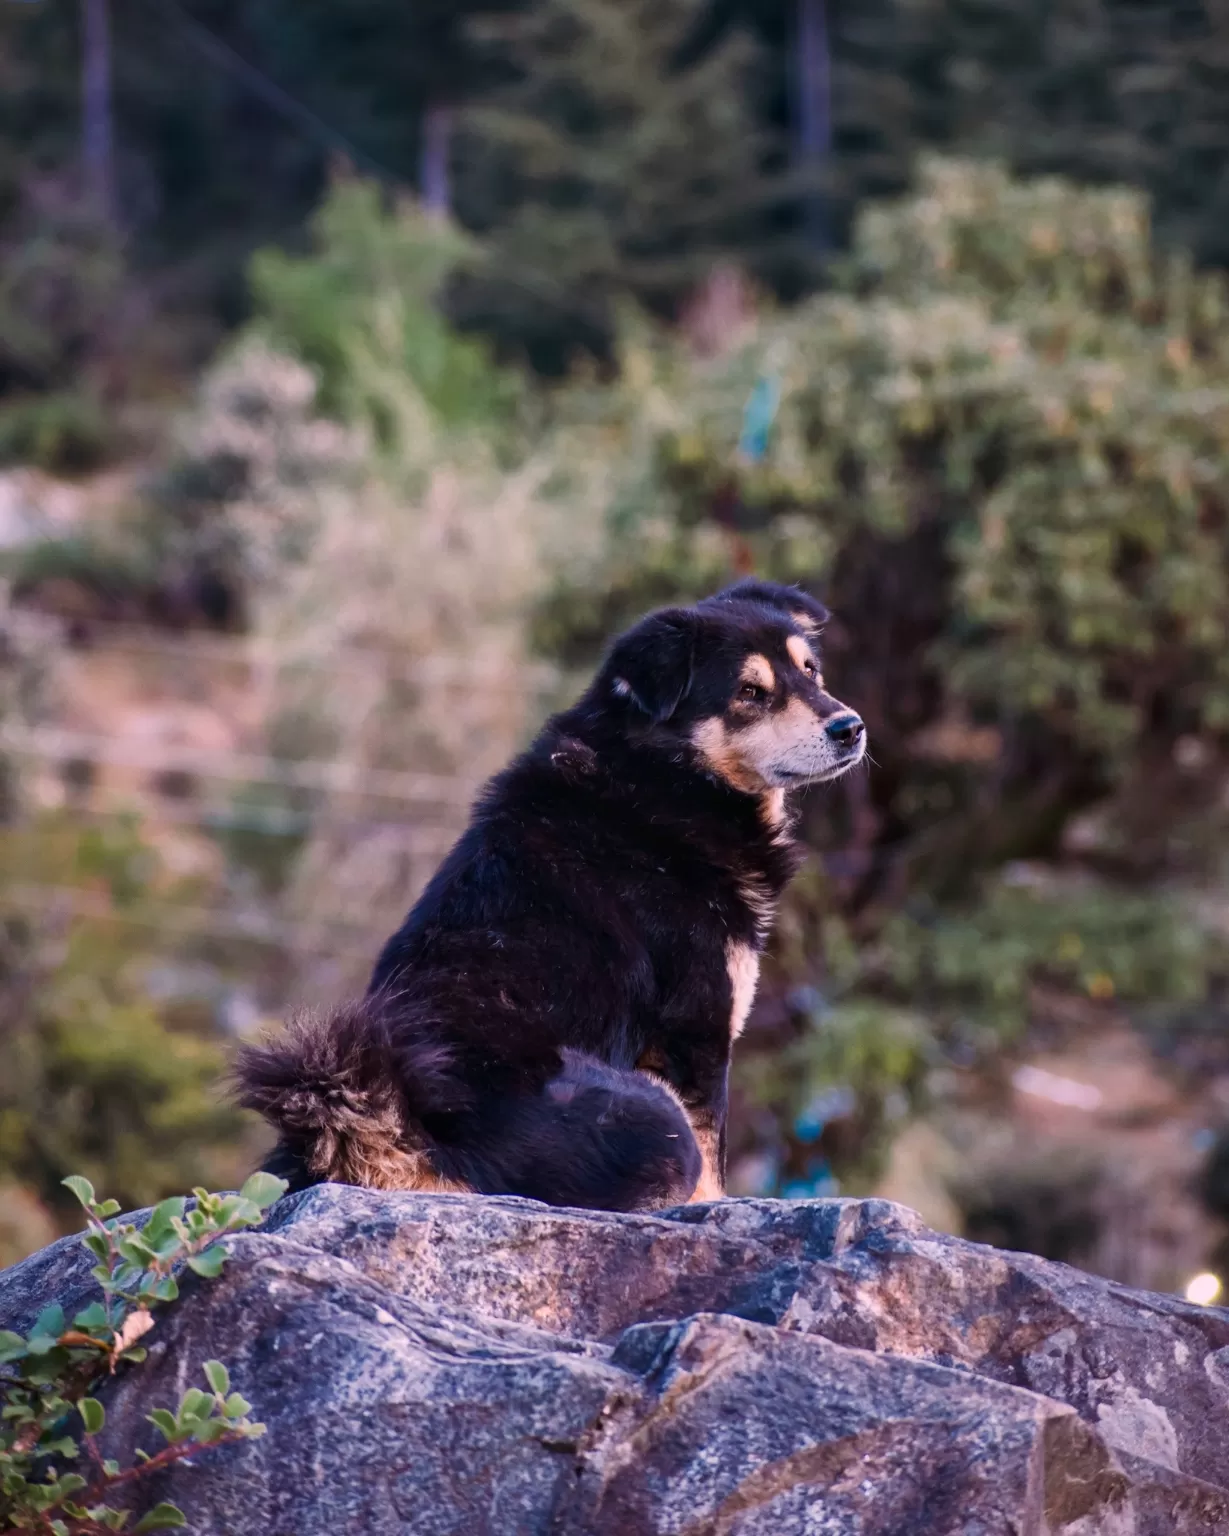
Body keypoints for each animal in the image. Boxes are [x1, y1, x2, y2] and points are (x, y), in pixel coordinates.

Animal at [238, 577, 866, 1210]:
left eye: (810, 671)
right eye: (749, 692)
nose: (851, 727)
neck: (667, 777)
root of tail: (402, 1137)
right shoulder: (696, 1035)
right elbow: (713, 1175)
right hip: (657, 1117)